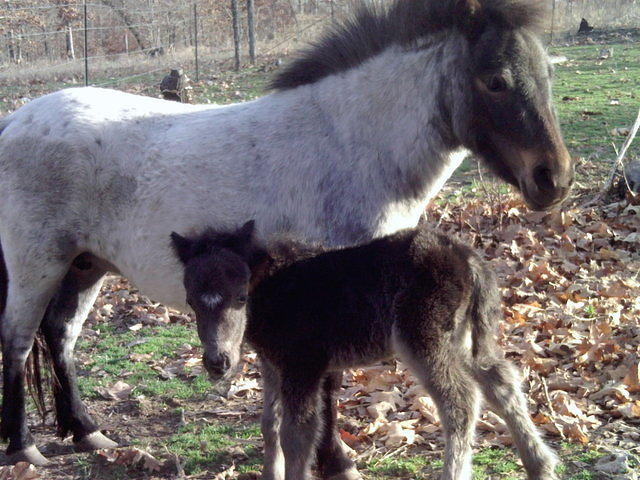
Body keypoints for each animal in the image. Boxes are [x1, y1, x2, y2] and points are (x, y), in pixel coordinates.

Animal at [0, 0, 568, 466]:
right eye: (494, 80)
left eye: (546, 74)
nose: (553, 179)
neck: (348, 141)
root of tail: (16, 121)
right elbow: (327, 387)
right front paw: (336, 459)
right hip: (37, 267)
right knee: (19, 341)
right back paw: (25, 448)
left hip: (85, 266)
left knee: (60, 337)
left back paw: (87, 432)